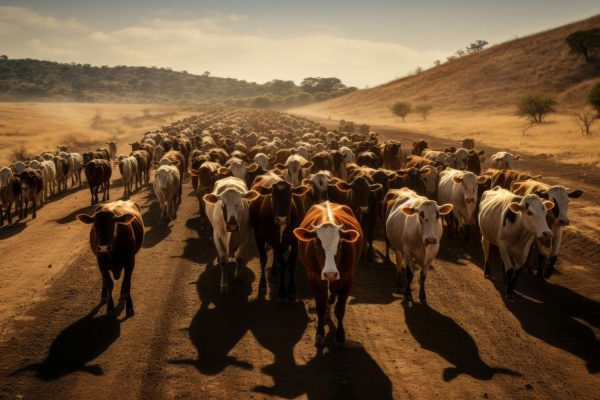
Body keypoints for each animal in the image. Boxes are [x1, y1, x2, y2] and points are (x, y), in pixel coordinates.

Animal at [294, 203, 364, 346]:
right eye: (316, 243)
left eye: (340, 243)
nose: (330, 274)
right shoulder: (313, 278)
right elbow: (320, 308)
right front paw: (320, 334)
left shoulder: (348, 278)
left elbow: (340, 309)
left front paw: (340, 336)